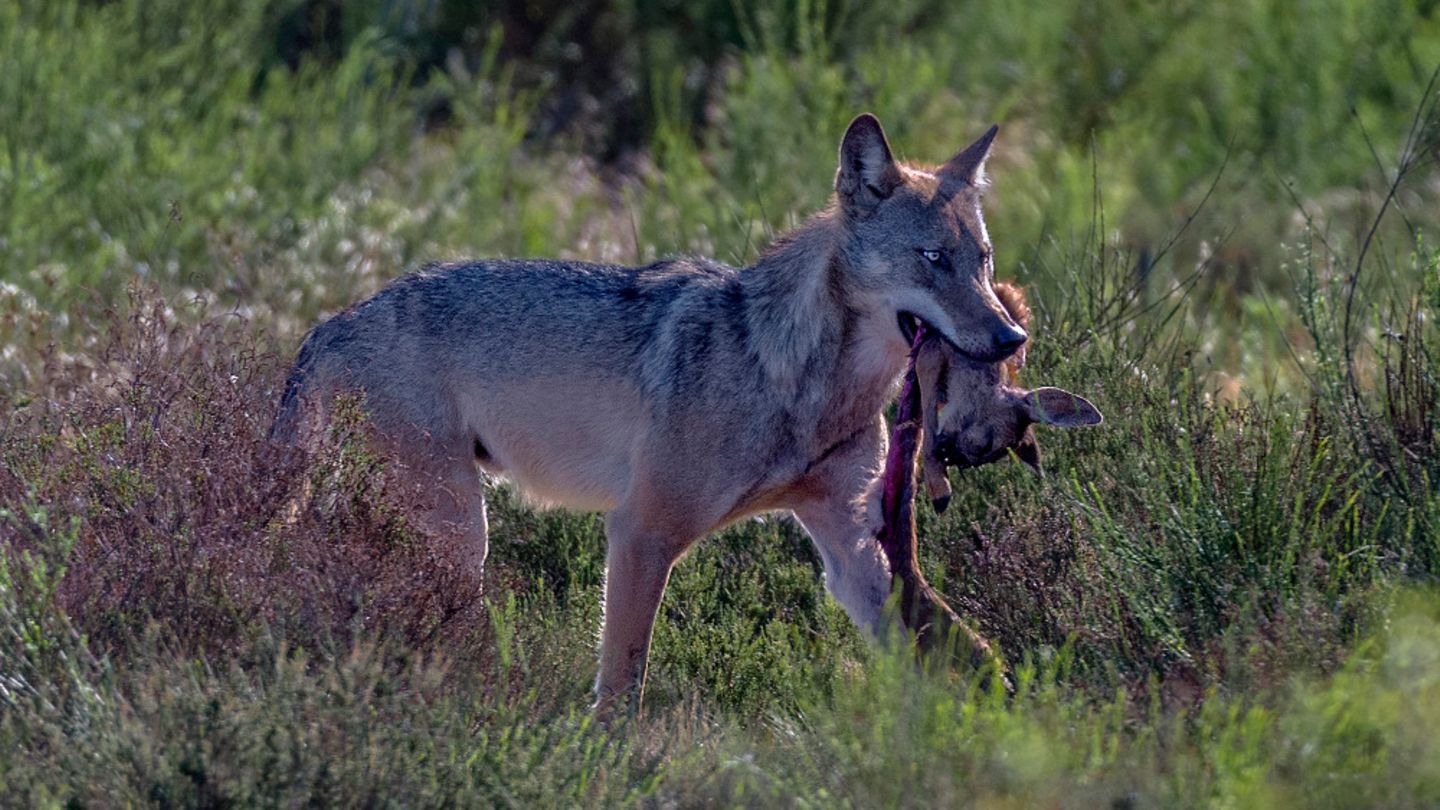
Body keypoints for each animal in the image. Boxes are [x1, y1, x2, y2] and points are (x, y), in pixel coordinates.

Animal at [271, 113, 1028, 708]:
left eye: (984, 260)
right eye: (932, 258)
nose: (1010, 337)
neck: (800, 381)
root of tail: (328, 325)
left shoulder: (850, 544)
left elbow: (946, 639)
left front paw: (992, 712)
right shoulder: (641, 532)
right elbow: (623, 683)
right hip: (459, 535)